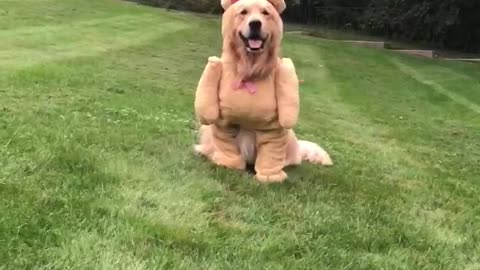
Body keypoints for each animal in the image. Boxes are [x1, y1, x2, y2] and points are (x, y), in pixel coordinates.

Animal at [193, 0, 332, 174]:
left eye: (266, 13)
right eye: (243, 12)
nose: (255, 24)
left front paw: (269, 175)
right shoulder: (223, 126)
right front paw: (226, 163)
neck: (250, 67)